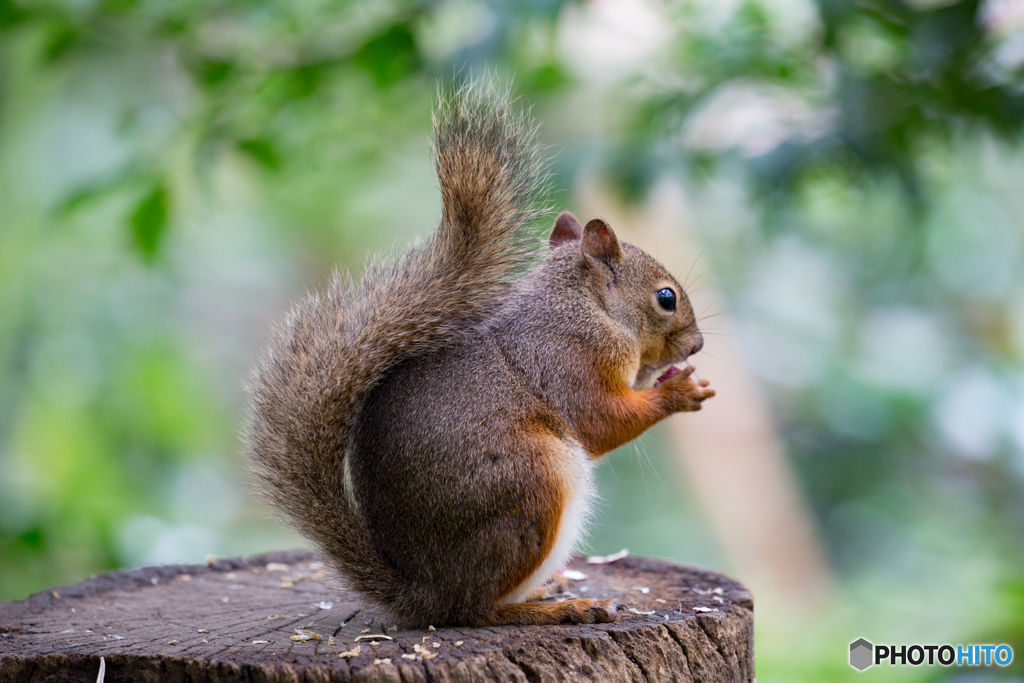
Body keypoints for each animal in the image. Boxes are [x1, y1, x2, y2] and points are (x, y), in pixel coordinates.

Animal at [244, 77, 716, 626]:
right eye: (666, 298)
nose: (697, 344)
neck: (586, 305)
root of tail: (424, 593)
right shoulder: (568, 357)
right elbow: (599, 420)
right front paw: (680, 391)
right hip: (531, 486)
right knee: (475, 611)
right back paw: (559, 608)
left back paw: (543, 592)